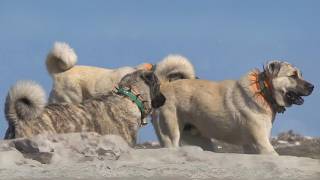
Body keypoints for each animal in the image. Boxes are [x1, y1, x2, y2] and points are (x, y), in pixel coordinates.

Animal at [154, 60, 314, 155]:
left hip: (200, 140)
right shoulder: (262, 143)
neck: (262, 91)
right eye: (293, 76)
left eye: (300, 74)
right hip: (171, 134)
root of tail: (164, 85)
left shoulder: (251, 146)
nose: (312, 86)